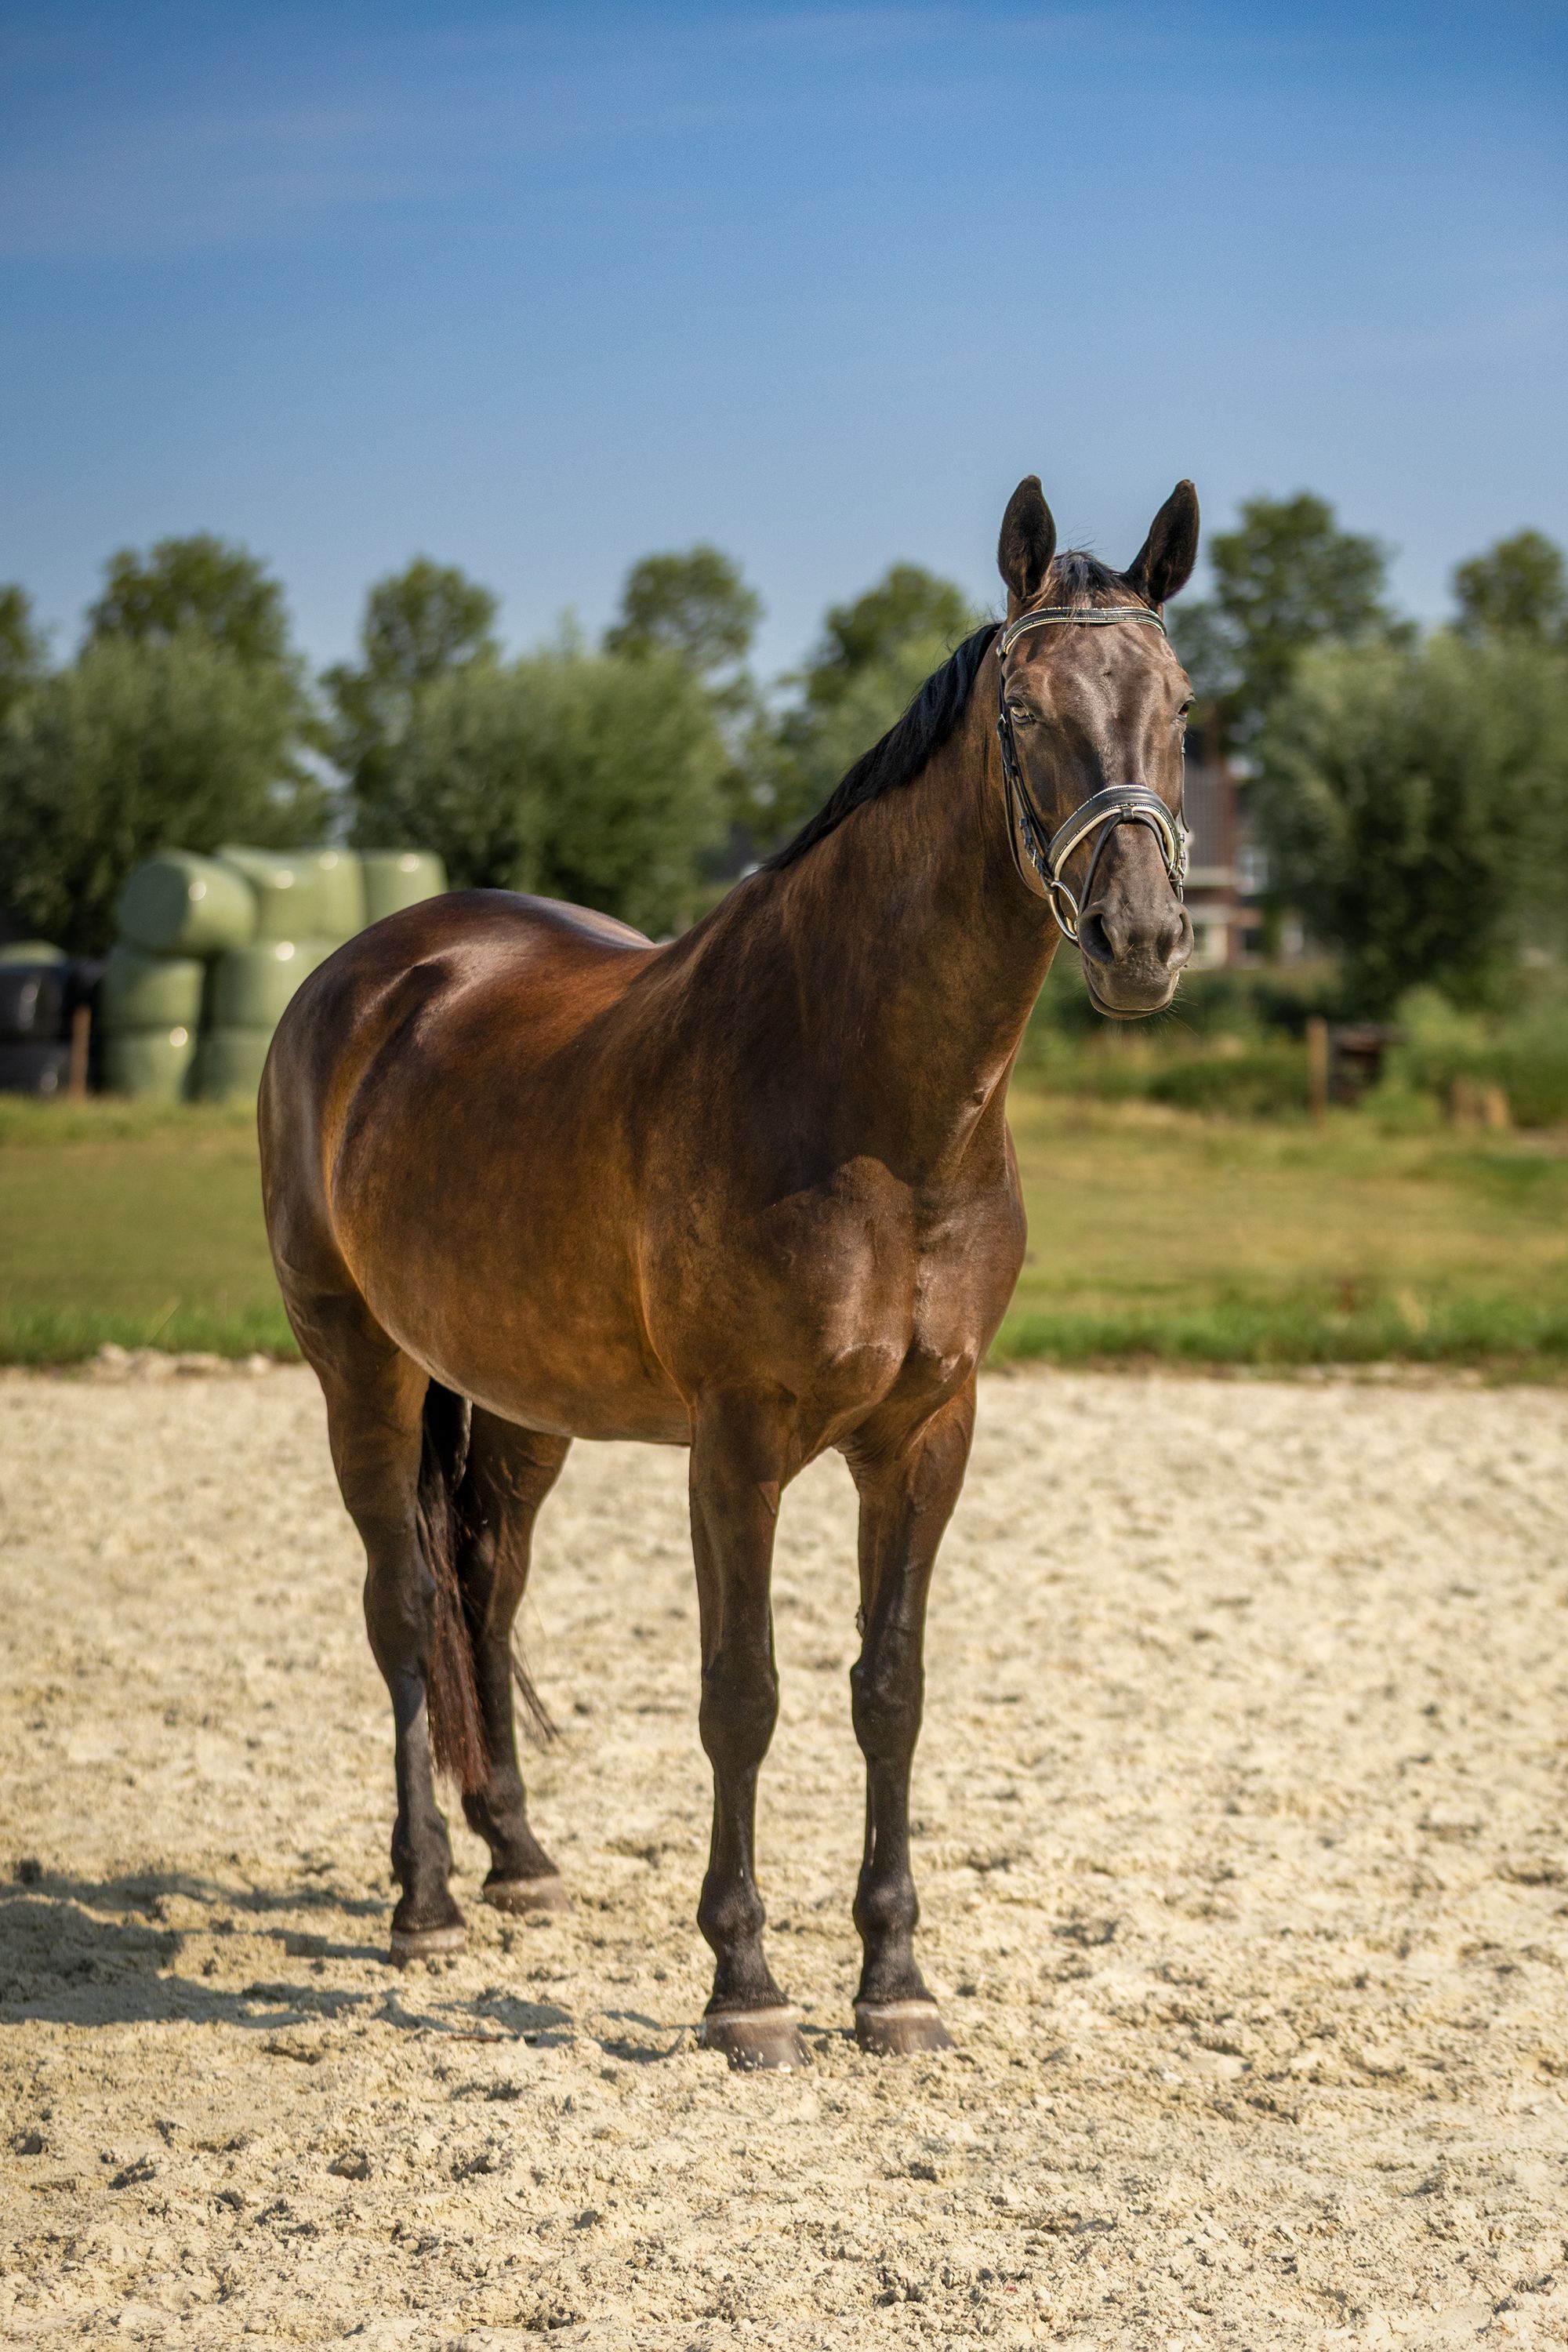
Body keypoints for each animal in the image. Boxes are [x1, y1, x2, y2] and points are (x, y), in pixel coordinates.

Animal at [259, 472, 1200, 2069]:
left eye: (1182, 705)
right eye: (1024, 708)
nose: (1139, 938)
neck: (873, 1105)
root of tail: (365, 975)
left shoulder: (927, 1436)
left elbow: (891, 1693)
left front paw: (894, 1982)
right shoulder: (739, 1444)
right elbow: (741, 1695)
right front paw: (746, 1986)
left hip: (524, 1403)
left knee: (484, 1588)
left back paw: (519, 1857)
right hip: (358, 1365)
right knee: (401, 1605)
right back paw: (427, 1899)